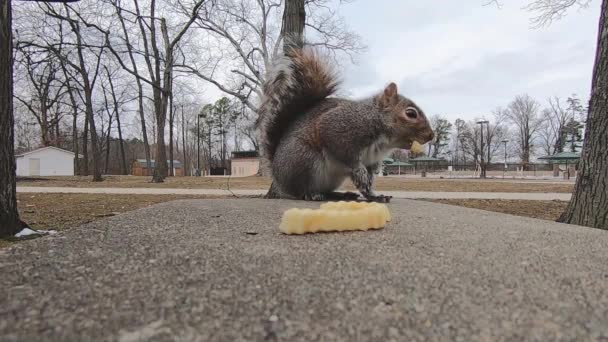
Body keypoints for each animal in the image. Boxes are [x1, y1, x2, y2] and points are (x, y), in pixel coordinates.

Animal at [254, 44, 434, 200]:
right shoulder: (340, 128)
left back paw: (351, 195)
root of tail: (278, 177)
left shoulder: (373, 158)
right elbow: (346, 155)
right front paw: (359, 171)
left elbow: (370, 176)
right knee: (302, 190)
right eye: (410, 113)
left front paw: (374, 181)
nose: (431, 136)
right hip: (305, 161)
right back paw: (313, 195)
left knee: (333, 191)